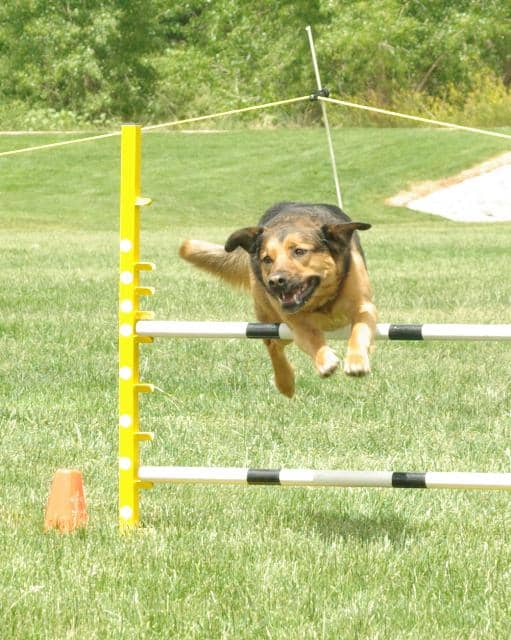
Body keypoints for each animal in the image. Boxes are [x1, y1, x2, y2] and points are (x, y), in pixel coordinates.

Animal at [179, 202, 376, 398]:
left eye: (299, 251)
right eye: (267, 259)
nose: (275, 281)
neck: (322, 302)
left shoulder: (364, 307)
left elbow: (359, 329)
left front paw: (356, 360)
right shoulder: (295, 322)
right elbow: (311, 335)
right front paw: (324, 359)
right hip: (273, 326)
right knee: (272, 345)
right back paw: (285, 382)